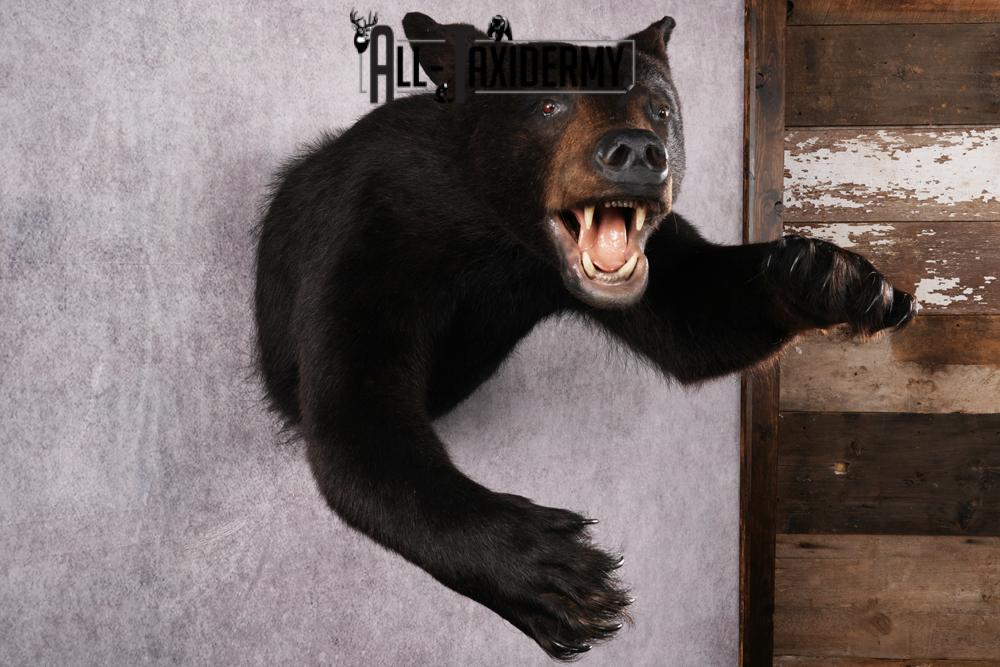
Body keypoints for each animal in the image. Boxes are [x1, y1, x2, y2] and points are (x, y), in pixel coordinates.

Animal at [254, 13, 917, 659]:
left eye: (660, 108)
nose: (639, 153)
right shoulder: (375, 230)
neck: (500, 233)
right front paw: (554, 574)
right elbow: (358, 417)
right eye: (549, 104)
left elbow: (699, 319)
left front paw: (837, 279)